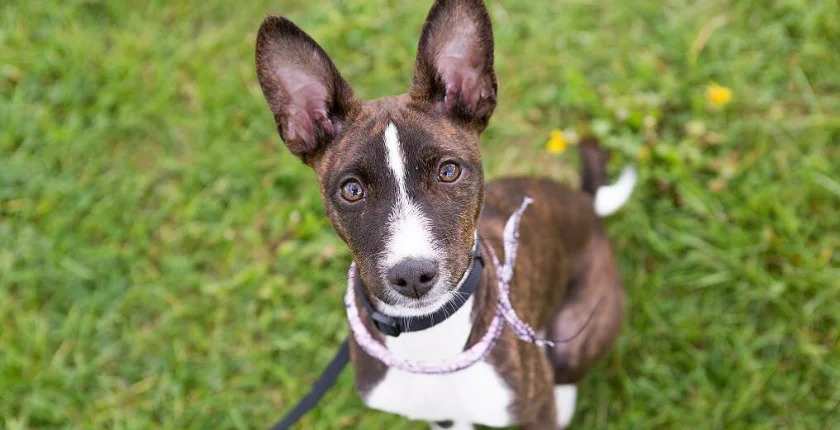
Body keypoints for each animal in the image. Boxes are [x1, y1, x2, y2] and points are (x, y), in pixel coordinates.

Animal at [256, 1, 636, 428]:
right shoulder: (443, 417)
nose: (412, 275)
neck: (429, 340)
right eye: (351, 190)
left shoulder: (532, 411)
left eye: (449, 171)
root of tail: (586, 205)